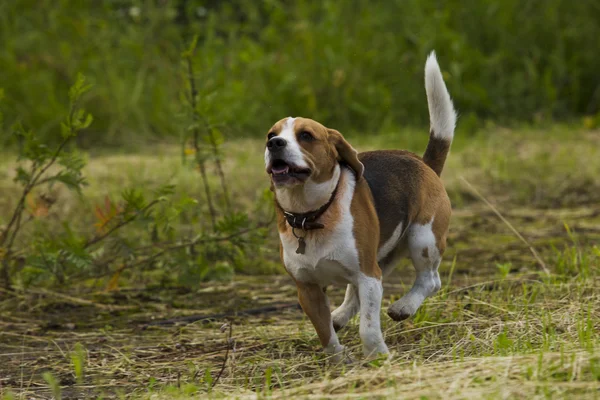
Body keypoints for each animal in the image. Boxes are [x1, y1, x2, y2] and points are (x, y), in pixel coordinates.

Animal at [264, 51, 458, 360]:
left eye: (306, 135)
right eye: (271, 134)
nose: (275, 144)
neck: (313, 215)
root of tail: (423, 162)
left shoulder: (369, 277)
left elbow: (368, 327)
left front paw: (378, 356)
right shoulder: (307, 288)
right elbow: (324, 332)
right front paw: (339, 360)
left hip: (422, 238)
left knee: (430, 281)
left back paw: (404, 306)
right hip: (379, 257)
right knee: (352, 298)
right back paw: (340, 315)